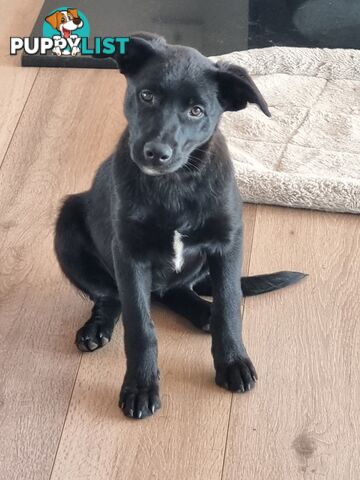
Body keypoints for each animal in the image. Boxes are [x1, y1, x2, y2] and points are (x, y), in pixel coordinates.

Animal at [54, 31, 306, 418]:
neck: (173, 185)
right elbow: (139, 325)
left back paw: (203, 310)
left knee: (177, 291)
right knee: (111, 296)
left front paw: (232, 362)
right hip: (67, 224)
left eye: (196, 110)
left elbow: (229, 305)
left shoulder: (227, 242)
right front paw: (141, 387)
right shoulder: (129, 254)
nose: (156, 153)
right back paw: (96, 328)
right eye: (147, 95)